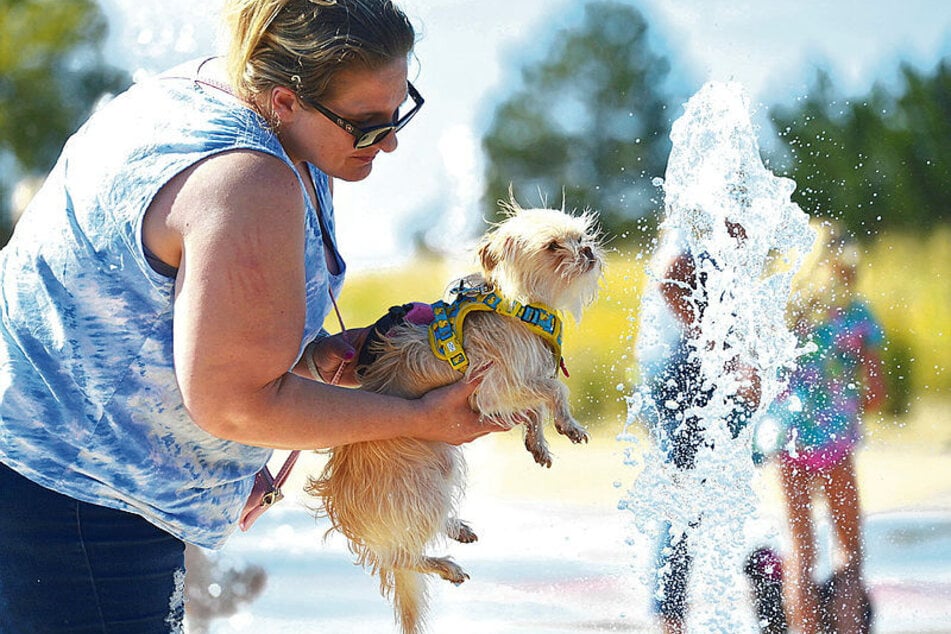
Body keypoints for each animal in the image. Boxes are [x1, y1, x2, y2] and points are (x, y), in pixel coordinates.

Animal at [306, 204, 604, 632]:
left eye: (581, 237)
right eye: (552, 246)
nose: (589, 252)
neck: (518, 306)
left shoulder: (510, 386)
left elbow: (535, 405)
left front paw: (538, 442)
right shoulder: (494, 383)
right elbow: (553, 390)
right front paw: (568, 424)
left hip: (438, 465)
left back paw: (455, 527)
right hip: (425, 474)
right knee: (399, 553)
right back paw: (445, 564)